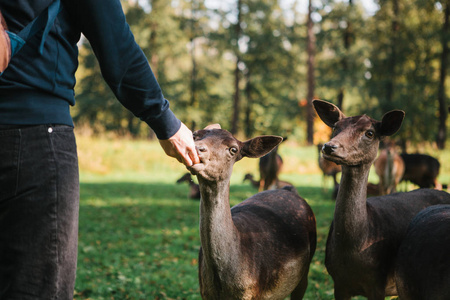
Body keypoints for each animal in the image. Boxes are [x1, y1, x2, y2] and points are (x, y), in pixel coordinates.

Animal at [187, 123, 316, 298]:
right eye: (195, 135)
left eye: (233, 149)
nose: (197, 148)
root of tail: (290, 190)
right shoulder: (204, 292)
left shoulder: (252, 293)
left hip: (306, 267)